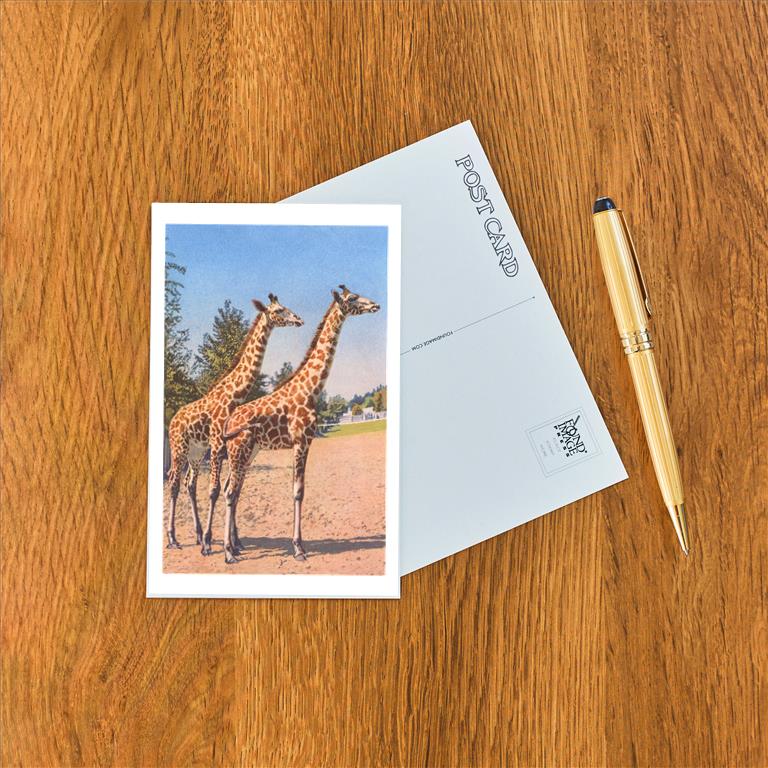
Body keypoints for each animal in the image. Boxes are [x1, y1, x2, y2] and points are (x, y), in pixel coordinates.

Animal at [166, 294, 303, 553]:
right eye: (279, 310)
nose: (299, 319)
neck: (235, 394)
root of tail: (172, 421)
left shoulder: (226, 447)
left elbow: (233, 490)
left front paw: (235, 542)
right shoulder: (219, 444)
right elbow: (216, 490)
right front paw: (210, 543)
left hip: (196, 452)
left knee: (190, 484)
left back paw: (196, 534)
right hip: (179, 449)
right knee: (174, 483)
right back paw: (174, 538)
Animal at [220, 285, 380, 563]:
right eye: (352, 298)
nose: (375, 305)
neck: (311, 389)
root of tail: (230, 419)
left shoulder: (303, 442)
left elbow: (298, 490)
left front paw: (298, 545)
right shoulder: (301, 440)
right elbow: (298, 491)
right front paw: (298, 548)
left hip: (248, 452)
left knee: (232, 490)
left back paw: (235, 546)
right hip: (239, 450)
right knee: (230, 492)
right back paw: (229, 553)